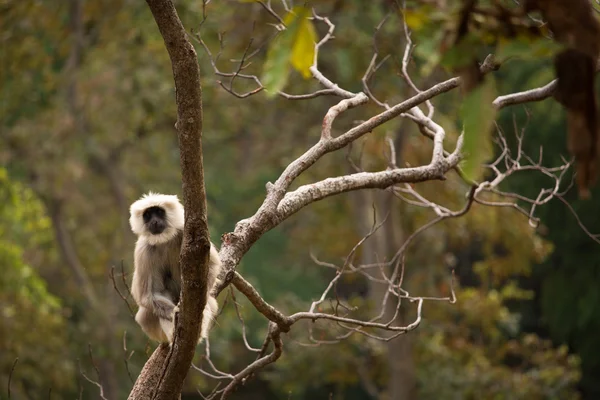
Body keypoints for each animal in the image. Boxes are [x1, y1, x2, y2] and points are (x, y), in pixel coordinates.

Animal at [128, 192, 220, 342]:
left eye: (159, 212)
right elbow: (149, 295)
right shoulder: (143, 251)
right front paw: (175, 312)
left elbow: (213, 264)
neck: (164, 240)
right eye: (148, 215)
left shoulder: (185, 232)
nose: (154, 221)